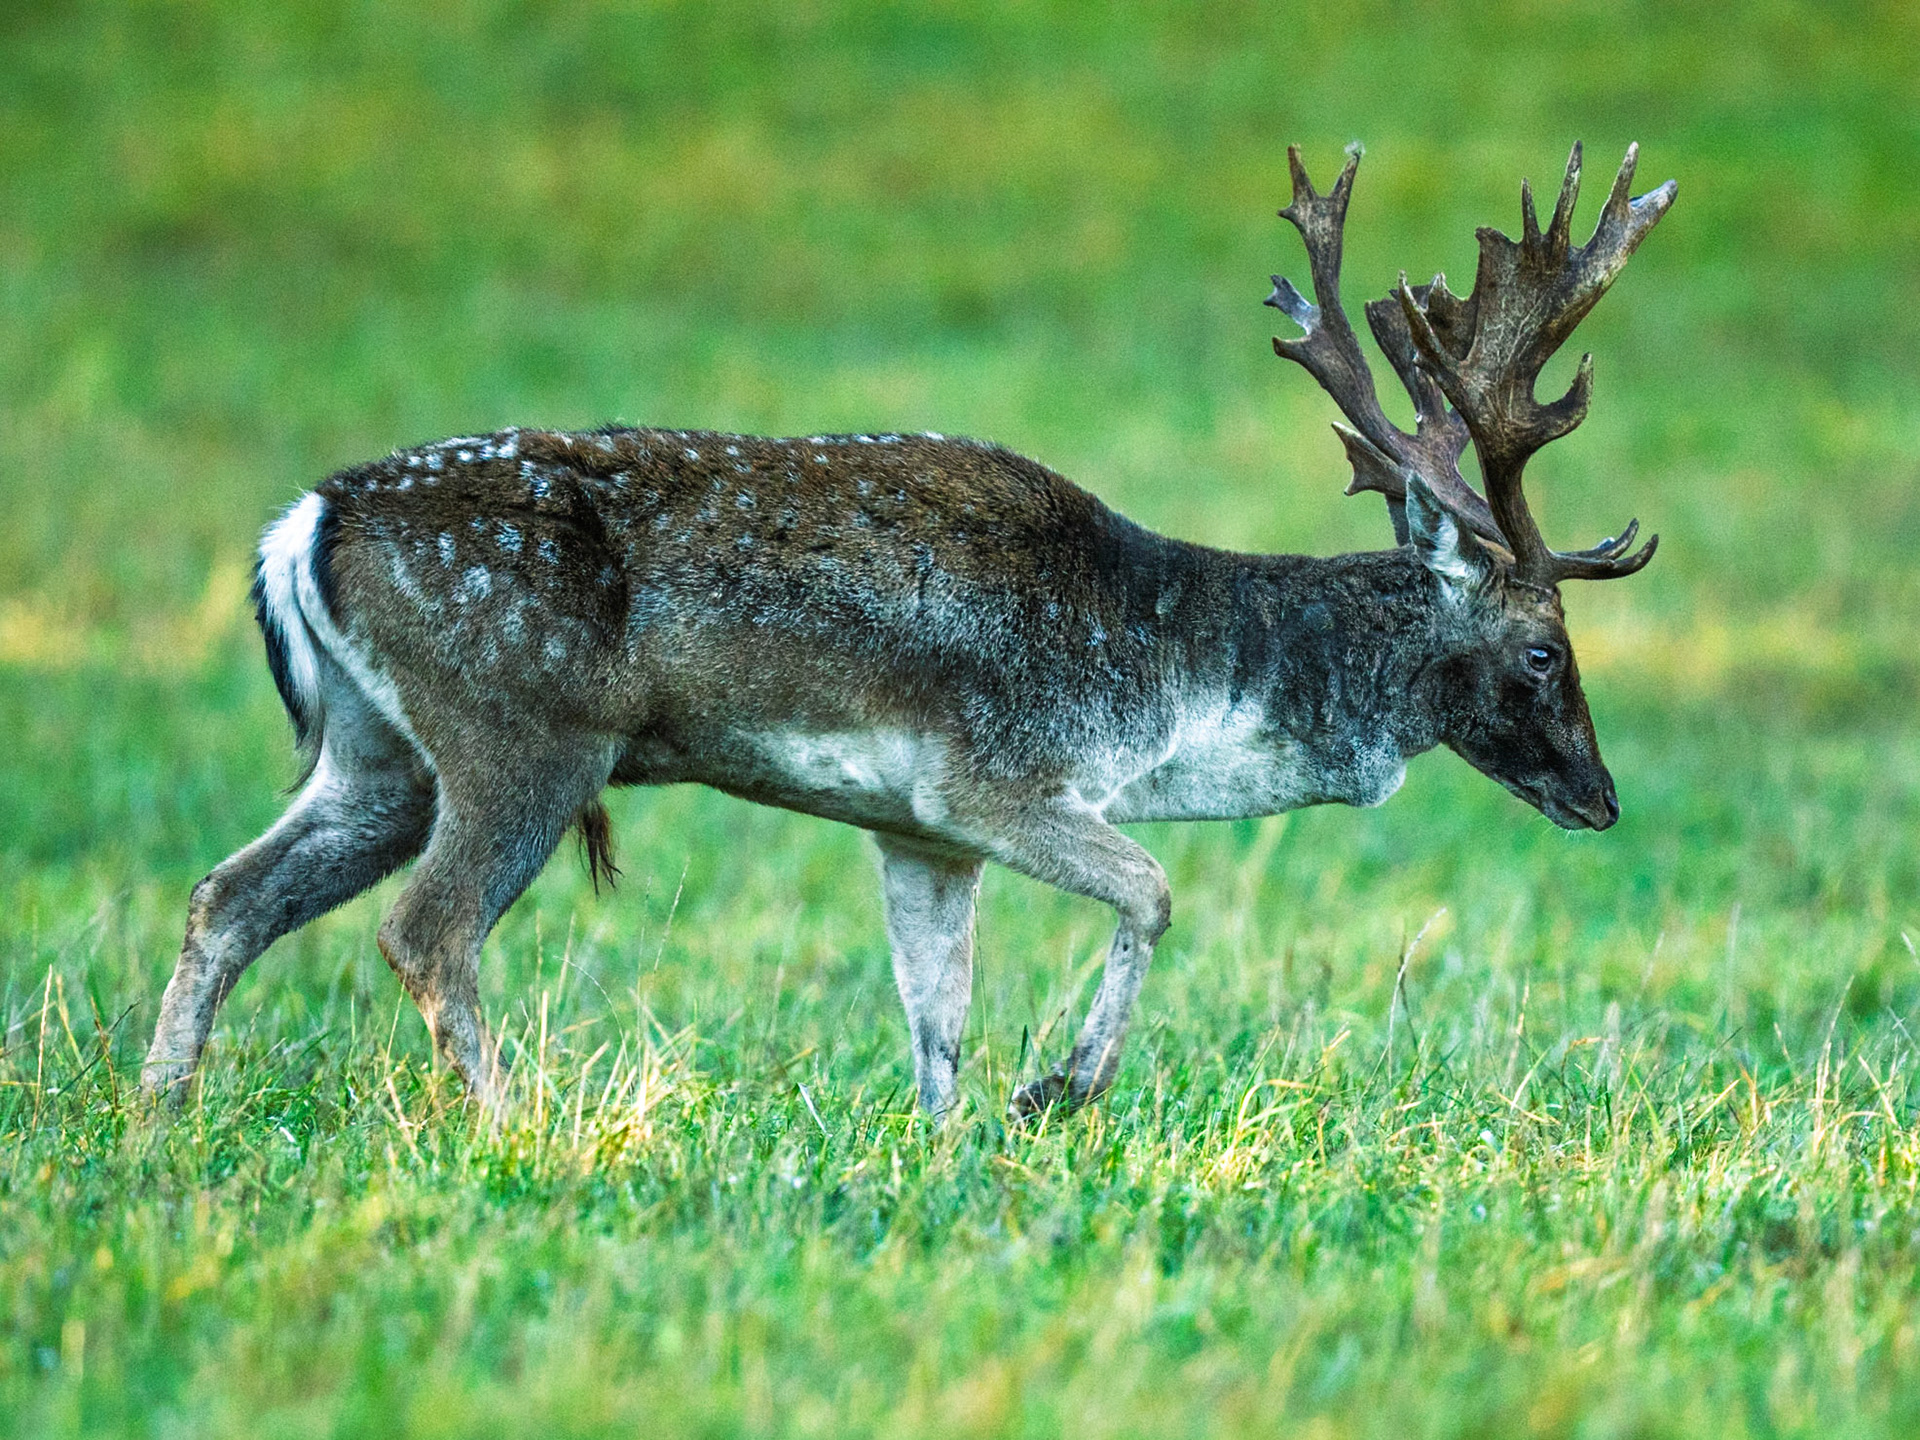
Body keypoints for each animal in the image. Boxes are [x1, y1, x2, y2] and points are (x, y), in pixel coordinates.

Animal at [141, 142, 1674, 1125]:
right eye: (1546, 650)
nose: (1603, 798)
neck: (1172, 697)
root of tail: (305, 523)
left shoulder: (914, 828)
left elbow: (935, 1021)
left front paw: (955, 1148)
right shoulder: (990, 776)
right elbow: (1153, 893)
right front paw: (1058, 1092)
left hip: (376, 754)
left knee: (229, 895)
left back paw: (160, 1121)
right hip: (522, 733)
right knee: (427, 930)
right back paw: (510, 1129)